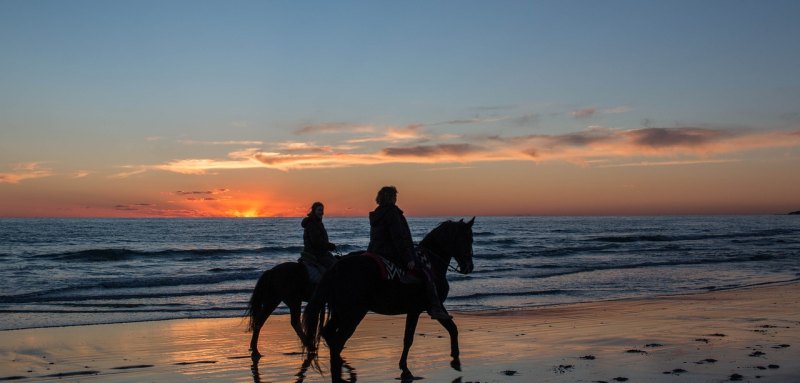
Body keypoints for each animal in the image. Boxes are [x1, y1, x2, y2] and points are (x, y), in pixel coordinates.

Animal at [304, 218, 472, 382]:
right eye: (466, 239)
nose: (469, 267)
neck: (431, 264)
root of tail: (336, 268)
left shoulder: (422, 309)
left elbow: (450, 329)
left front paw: (454, 360)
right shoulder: (424, 308)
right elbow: (411, 338)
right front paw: (407, 369)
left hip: (341, 312)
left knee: (329, 335)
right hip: (353, 314)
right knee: (337, 343)